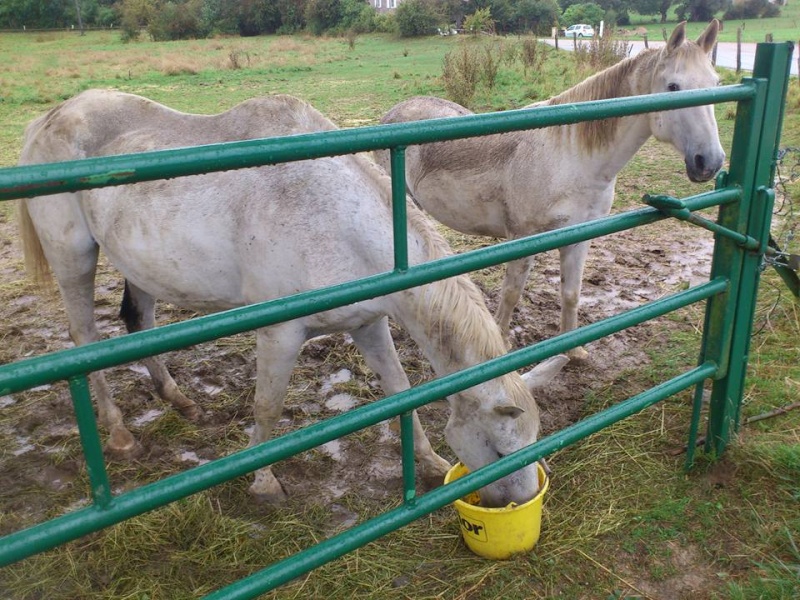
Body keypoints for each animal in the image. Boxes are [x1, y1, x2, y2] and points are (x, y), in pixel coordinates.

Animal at [18, 89, 568, 506]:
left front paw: (430, 462)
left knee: (140, 321)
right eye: (499, 451)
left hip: (142, 267)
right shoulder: (280, 334)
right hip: (74, 259)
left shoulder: (368, 324)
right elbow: (268, 407)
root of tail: (50, 117)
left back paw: (179, 400)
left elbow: (399, 389)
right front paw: (264, 483)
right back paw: (119, 434)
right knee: (84, 339)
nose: (523, 502)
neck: (334, 218)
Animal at [378, 22, 720, 360]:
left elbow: (571, 293)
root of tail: (393, 113)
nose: (710, 162)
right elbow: (511, 293)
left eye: (716, 83)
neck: (569, 158)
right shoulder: (522, 237)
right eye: (673, 87)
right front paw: (502, 346)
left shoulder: (579, 236)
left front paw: (574, 350)